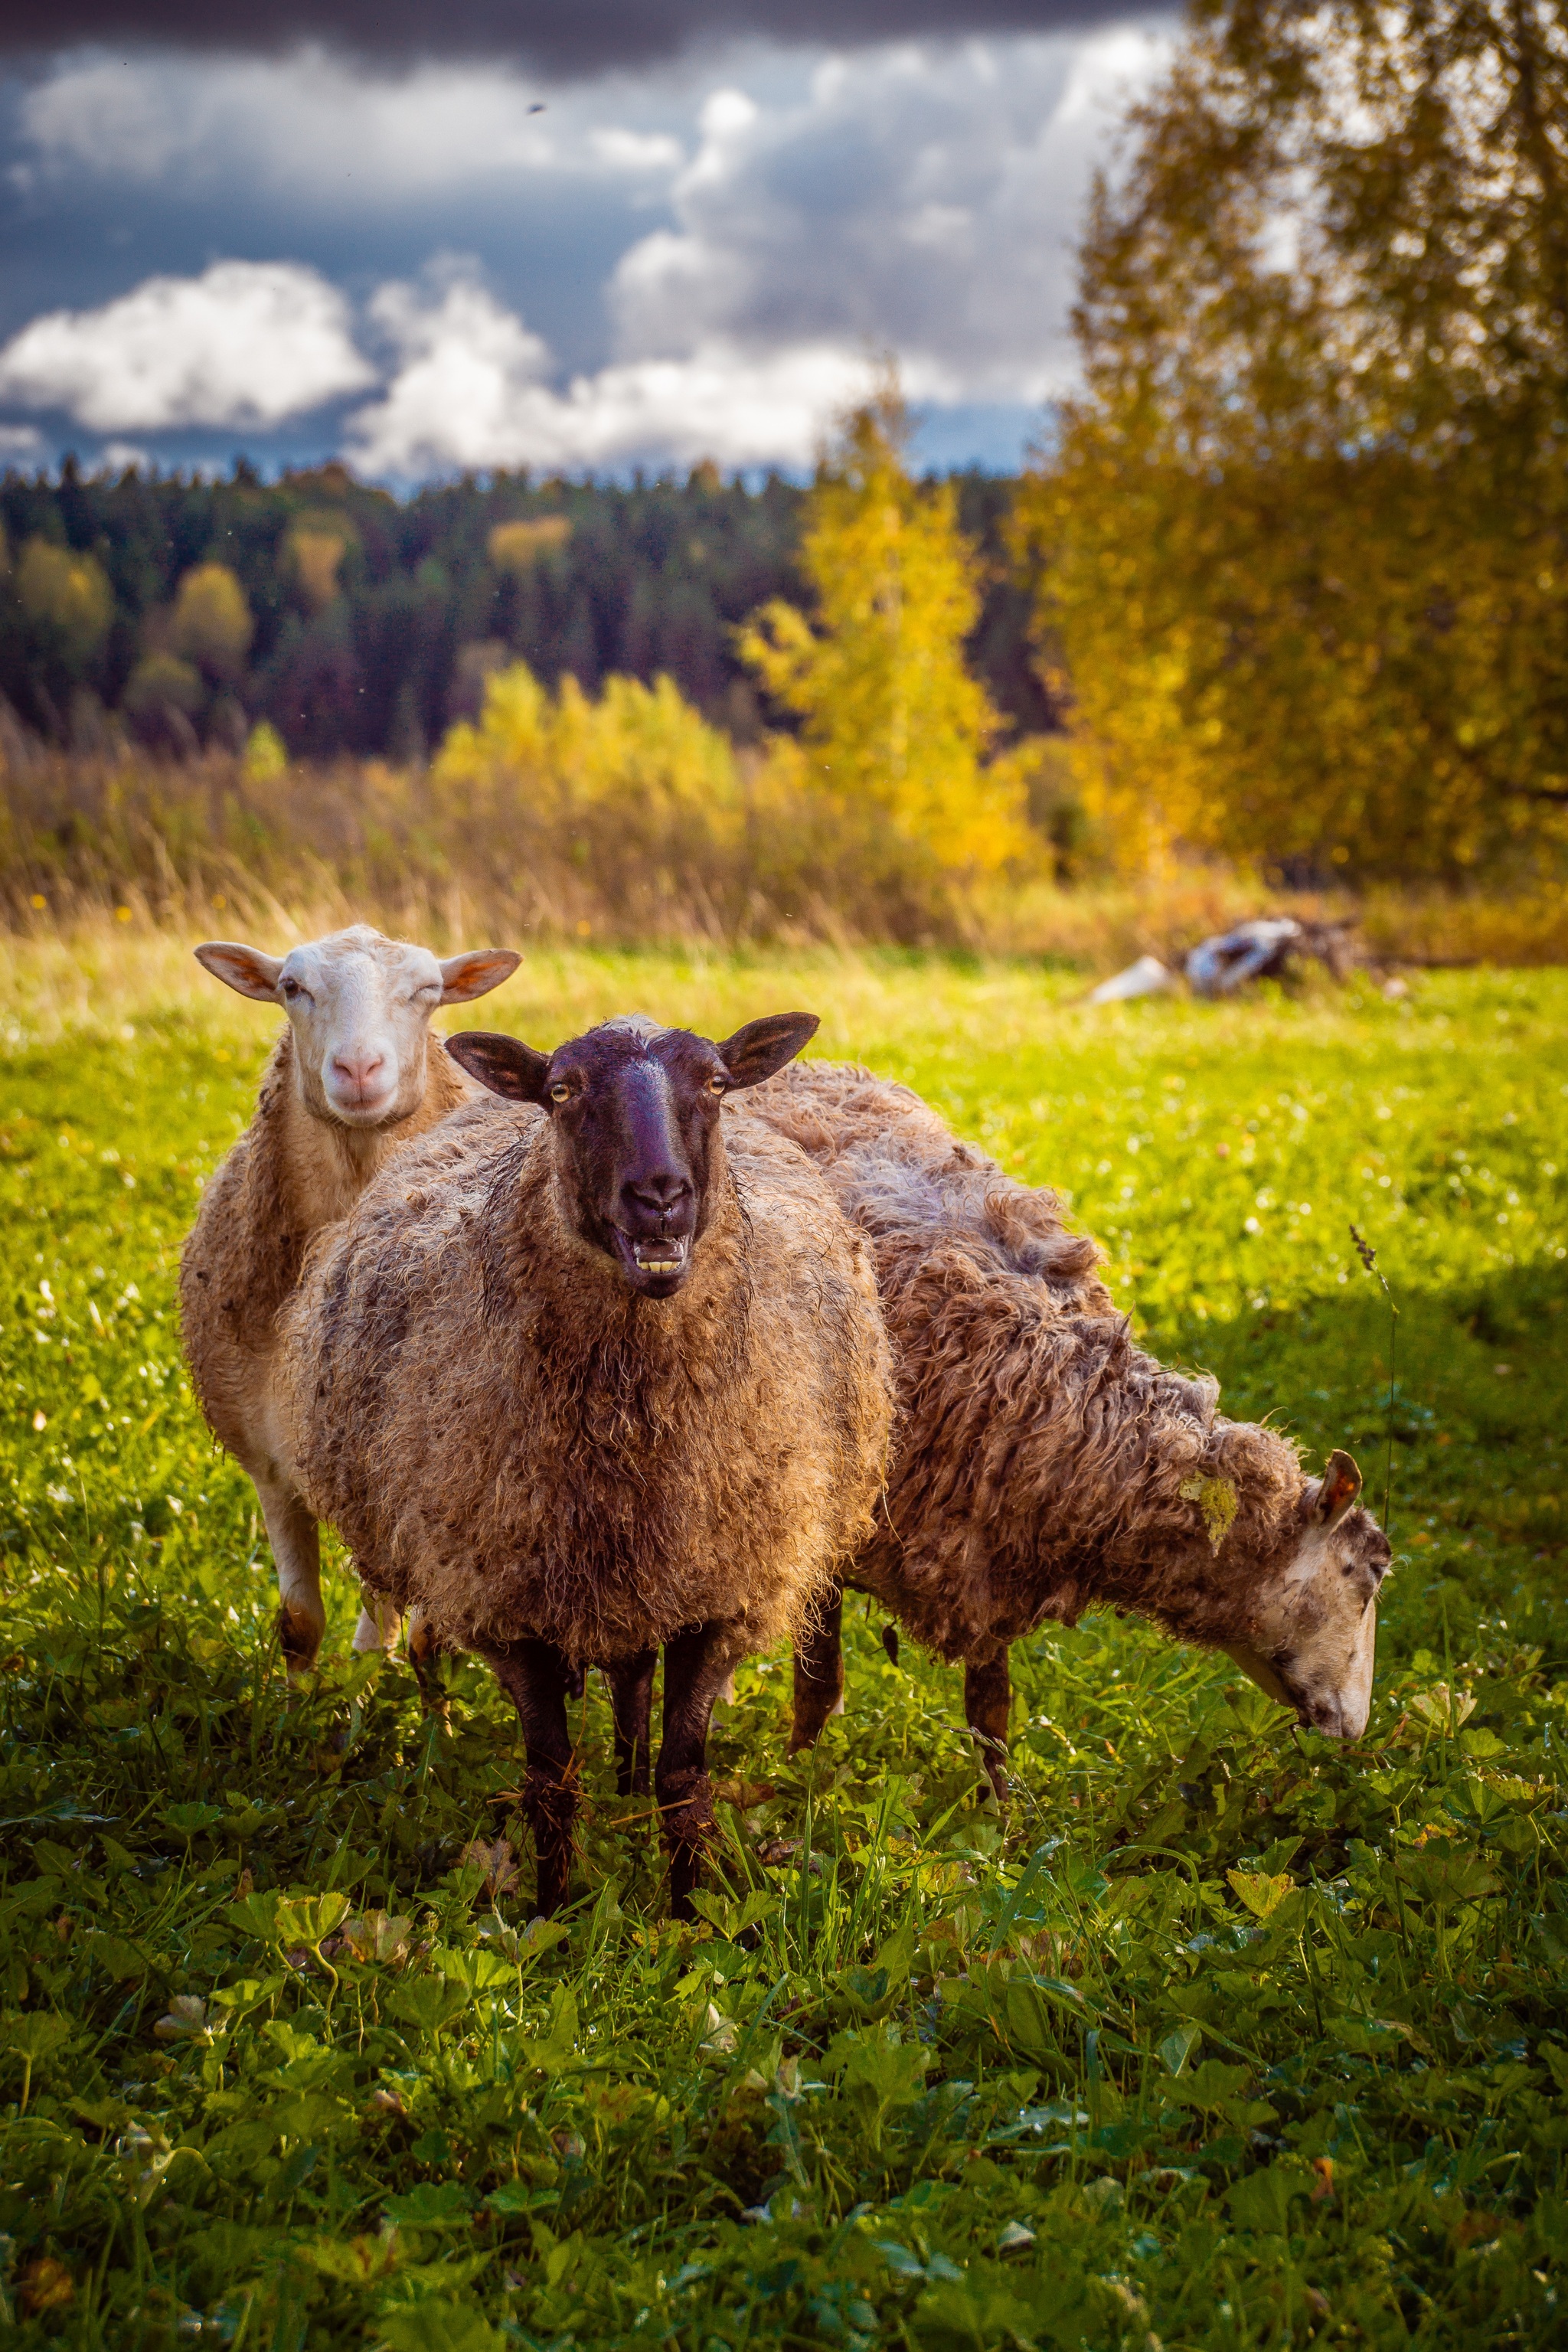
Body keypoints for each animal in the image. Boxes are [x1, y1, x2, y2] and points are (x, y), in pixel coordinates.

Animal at [177, 917, 521, 1674]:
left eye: (428, 992)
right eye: (290, 987)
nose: (359, 1070)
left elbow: (430, 1639)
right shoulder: (267, 1457)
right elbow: (299, 1624)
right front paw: (299, 1703)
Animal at [728, 1058, 1391, 1787]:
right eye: (1371, 1573)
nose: (1355, 1731)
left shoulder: (989, 1557)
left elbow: (990, 1710)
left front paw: (1001, 1808)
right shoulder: (833, 1524)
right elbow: (820, 1680)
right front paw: (803, 1776)